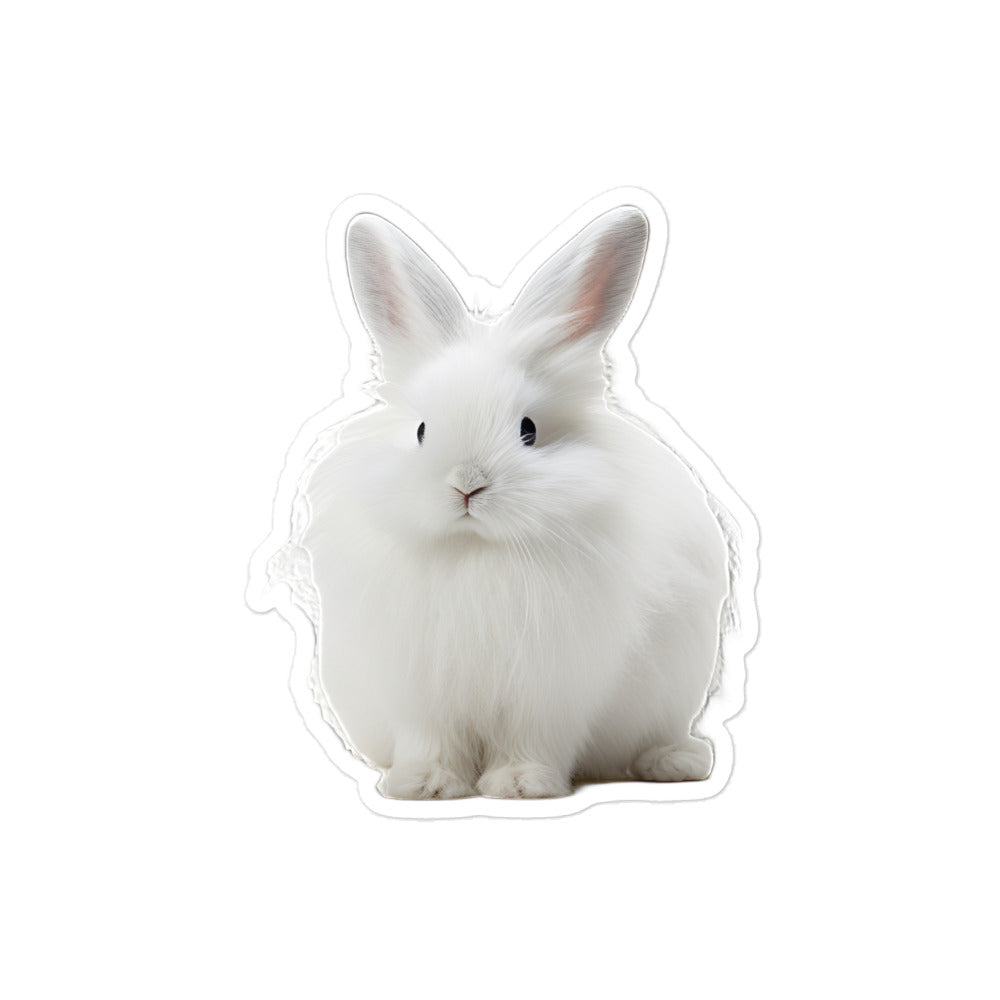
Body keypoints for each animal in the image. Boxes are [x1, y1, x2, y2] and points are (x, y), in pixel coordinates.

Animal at [302, 202, 731, 799]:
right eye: (422, 430)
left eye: (528, 430)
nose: (467, 484)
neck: (477, 551)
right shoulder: (421, 691)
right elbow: (429, 740)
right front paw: (424, 784)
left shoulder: (550, 691)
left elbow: (533, 739)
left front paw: (521, 784)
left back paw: (675, 763)